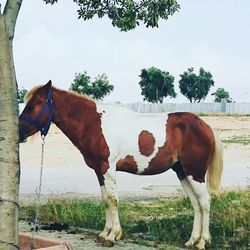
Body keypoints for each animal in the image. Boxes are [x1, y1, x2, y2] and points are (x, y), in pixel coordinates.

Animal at [18, 81, 224, 249]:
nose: (19, 133)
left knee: (205, 202)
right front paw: (104, 233)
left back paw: (203, 241)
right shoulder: (99, 171)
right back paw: (192, 240)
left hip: (195, 173)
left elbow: (113, 200)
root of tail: (205, 126)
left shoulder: (108, 169)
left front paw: (113, 236)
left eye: (32, 106)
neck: (93, 123)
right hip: (182, 172)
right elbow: (105, 200)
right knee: (196, 203)